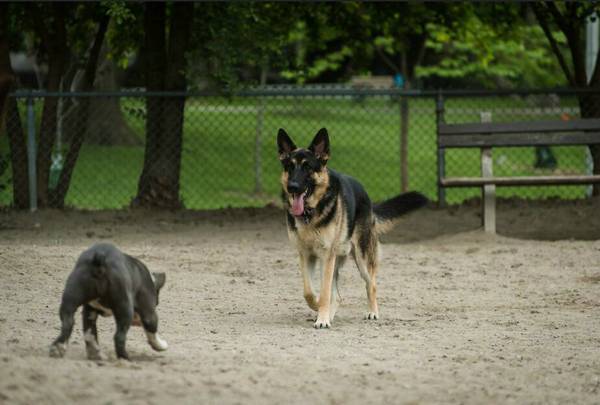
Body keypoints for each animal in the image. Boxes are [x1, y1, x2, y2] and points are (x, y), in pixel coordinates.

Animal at [276, 129, 426, 328]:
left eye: (308, 167)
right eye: (290, 166)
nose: (292, 187)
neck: (311, 214)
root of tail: (366, 195)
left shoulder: (326, 255)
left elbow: (324, 292)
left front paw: (321, 317)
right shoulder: (306, 254)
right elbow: (308, 292)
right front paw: (318, 307)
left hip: (361, 258)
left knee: (371, 285)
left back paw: (371, 312)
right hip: (336, 259)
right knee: (337, 296)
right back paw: (330, 314)